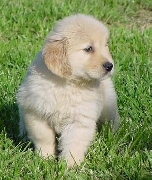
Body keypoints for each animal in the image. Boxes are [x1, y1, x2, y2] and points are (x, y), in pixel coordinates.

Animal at [16, 14, 119, 167]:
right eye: (89, 48)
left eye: (105, 45)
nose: (109, 66)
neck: (68, 85)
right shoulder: (37, 113)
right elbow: (44, 139)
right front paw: (45, 159)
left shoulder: (80, 121)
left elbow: (73, 145)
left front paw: (70, 166)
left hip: (109, 107)